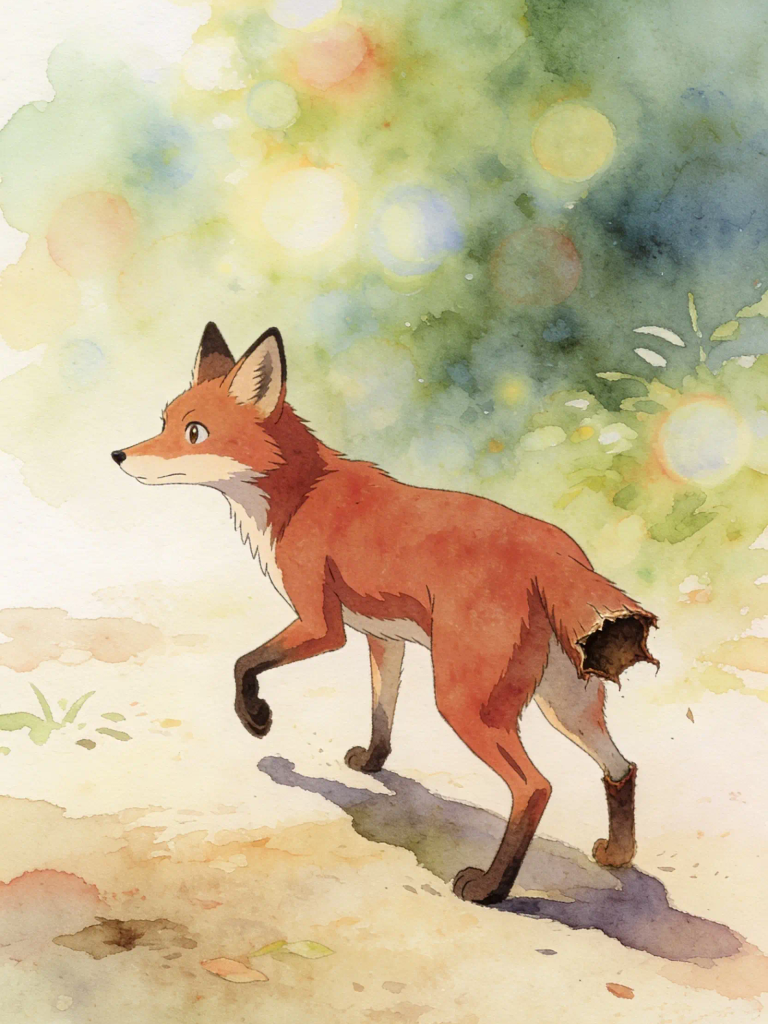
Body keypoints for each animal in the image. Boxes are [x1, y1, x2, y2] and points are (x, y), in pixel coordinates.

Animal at [112, 322, 659, 905]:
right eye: (164, 422)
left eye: (194, 432)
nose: (119, 455)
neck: (298, 495)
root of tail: (556, 550)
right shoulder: (383, 638)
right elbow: (382, 710)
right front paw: (372, 764)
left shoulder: (321, 625)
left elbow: (243, 664)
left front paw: (256, 719)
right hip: (565, 703)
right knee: (621, 766)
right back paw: (618, 855)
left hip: (466, 704)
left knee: (535, 787)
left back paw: (491, 887)